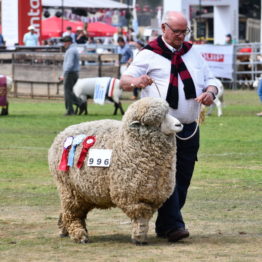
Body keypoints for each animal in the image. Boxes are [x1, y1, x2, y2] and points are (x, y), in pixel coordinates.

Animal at [48, 97, 184, 245]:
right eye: (154, 121)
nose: (179, 124)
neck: (126, 141)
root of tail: (61, 134)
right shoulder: (131, 196)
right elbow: (140, 218)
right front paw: (139, 238)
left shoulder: (151, 196)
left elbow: (144, 219)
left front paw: (140, 237)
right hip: (68, 187)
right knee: (72, 214)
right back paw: (79, 235)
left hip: (83, 192)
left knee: (69, 212)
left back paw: (64, 230)